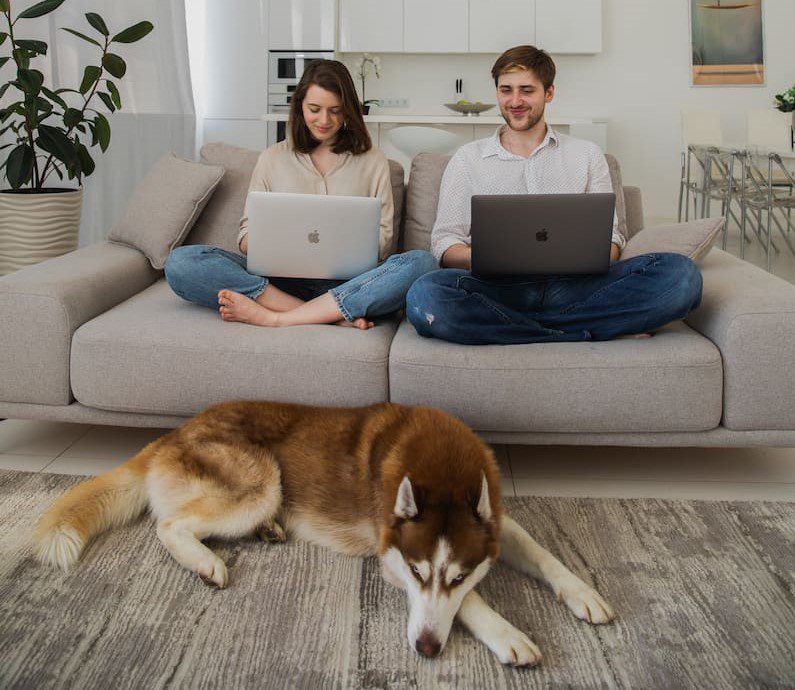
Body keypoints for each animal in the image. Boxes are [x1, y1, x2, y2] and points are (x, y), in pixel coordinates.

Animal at [34, 400, 612, 664]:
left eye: (459, 573)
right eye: (418, 571)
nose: (426, 648)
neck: (442, 469)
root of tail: (173, 432)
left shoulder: (496, 524)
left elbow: (541, 554)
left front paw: (583, 592)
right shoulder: (389, 551)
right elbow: (473, 605)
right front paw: (507, 633)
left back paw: (266, 532)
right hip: (262, 481)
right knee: (170, 524)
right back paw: (206, 561)